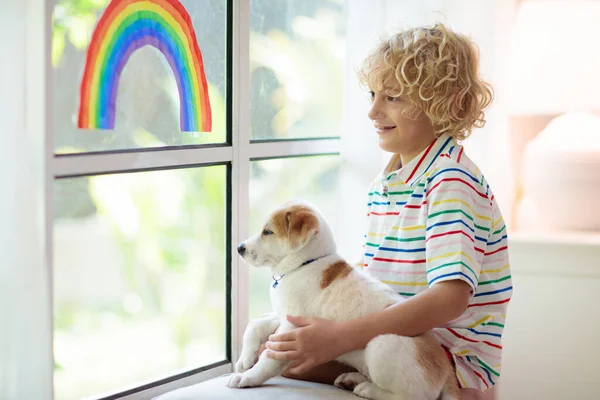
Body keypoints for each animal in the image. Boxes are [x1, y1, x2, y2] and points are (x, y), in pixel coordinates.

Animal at [230, 202, 460, 400]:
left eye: (268, 232)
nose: (239, 248)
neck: (304, 264)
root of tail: (447, 370)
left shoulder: (291, 327)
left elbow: (270, 357)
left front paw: (247, 377)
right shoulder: (283, 316)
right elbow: (255, 324)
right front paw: (245, 360)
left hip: (381, 346)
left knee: (410, 397)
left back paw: (366, 389)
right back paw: (352, 379)